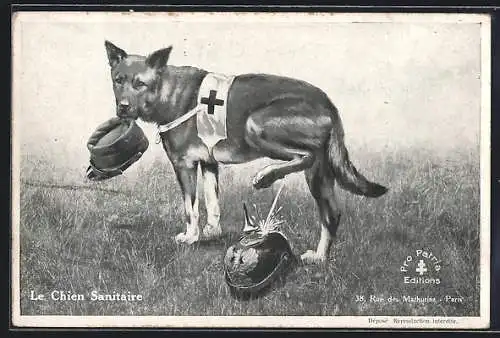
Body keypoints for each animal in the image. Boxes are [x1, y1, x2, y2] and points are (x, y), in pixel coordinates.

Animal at [103, 41, 388, 264]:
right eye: (118, 81)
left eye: (140, 83)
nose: (123, 107)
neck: (166, 91)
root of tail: (327, 102)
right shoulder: (208, 164)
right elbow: (213, 204)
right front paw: (212, 232)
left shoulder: (184, 165)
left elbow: (190, 207)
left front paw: (192, 237)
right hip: (319, 174)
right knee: (331, 213)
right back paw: (320, 258)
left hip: (256, 125)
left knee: (304, 157)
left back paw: (266, 176)